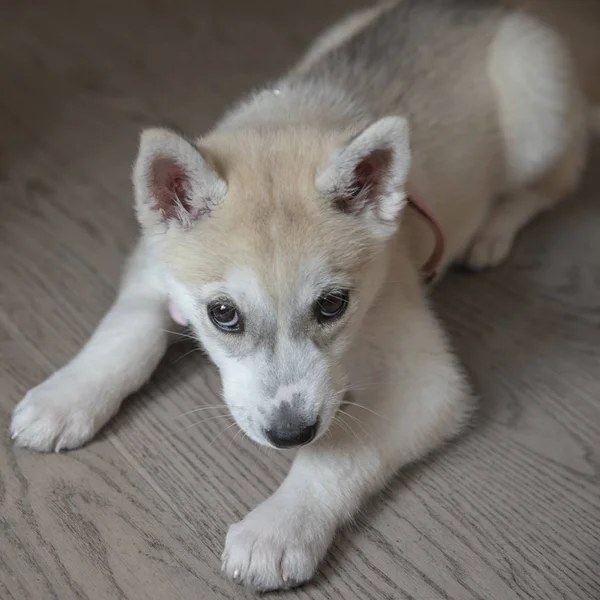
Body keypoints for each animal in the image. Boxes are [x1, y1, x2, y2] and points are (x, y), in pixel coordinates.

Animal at [10, 0, 600, 592]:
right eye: (222, 314)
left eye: (333, 304)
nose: (290, 433)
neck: (285, 121)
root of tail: (481, 9)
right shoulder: (151, 266)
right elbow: (124, 334)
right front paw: (67, 398)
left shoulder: (429, 382)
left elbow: (341, 450)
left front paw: (280, 528)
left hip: (537, 102)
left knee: (553, 183)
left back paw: (492, 231)